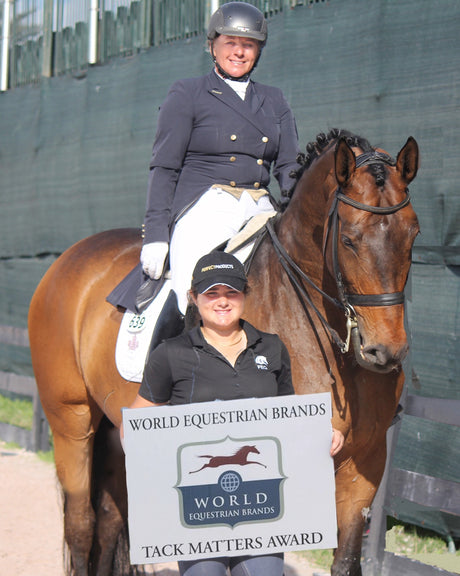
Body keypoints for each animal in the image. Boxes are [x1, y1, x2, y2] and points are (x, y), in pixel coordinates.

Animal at [27, 130, 418, 576]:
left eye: (413, 234)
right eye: (349, 240)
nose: (384, 351)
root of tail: (69, 258)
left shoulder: (365, 466)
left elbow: (346, 560)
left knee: (109, 521)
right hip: (71, 421)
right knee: (81, 523)